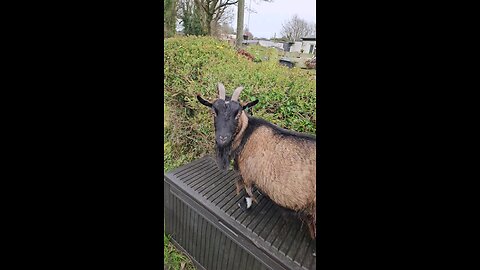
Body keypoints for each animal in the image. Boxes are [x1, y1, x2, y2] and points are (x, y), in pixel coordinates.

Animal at [197, 83, 316, 238]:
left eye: (238, 113)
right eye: (214, 112)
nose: (222, 138)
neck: (246, 134)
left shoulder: (247, 173)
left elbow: (248, 193)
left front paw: (244, 206)